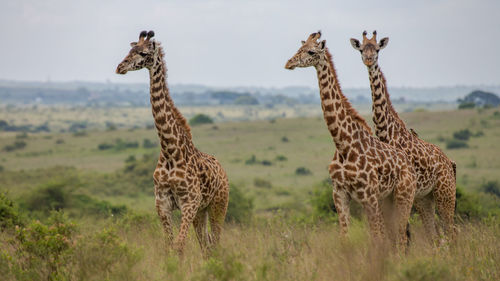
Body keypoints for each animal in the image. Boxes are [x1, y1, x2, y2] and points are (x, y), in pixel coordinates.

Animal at [115, 30, 229, 254]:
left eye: (142, 53)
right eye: (129, 50)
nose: (120, 67)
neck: (169, 150)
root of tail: (222, 170)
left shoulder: (189, 203)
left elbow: (179, 245)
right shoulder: (162, 204)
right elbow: (169, 246)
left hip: (218, 204)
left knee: (216, 243)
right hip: (202, 211)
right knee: (206, 245)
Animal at [286, 32, 418, 247]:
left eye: (311, 51)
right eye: (299, 48)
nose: (288, 63)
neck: (343, 144)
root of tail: (408, 163)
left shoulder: (368, 195)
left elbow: (376, 238)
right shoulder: (339, 193)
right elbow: (345, 237)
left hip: (404, 195)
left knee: (400, 237)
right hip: (387, 200)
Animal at [352, 30, 458, 241]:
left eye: (377, 49)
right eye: (361, 49)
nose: (369, 59)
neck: (386, 131)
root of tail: (450, 162)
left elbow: (403, 230)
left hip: (445, 193)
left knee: (451, 230)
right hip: (425, 198)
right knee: (435, 233)